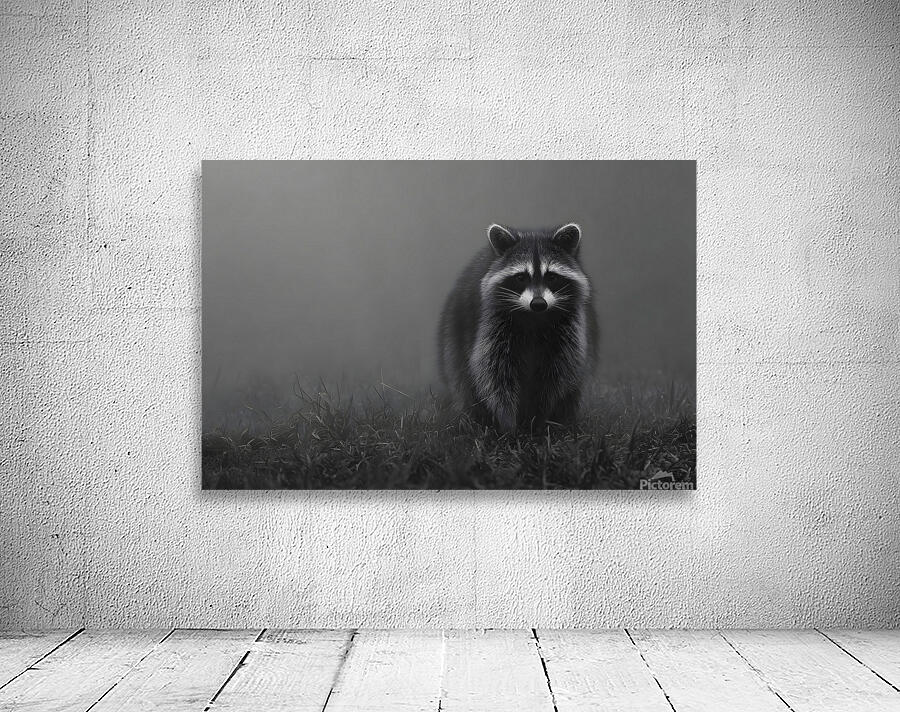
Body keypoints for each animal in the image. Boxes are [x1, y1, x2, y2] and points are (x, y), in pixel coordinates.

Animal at [438, 223, 599, 432]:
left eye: (551, 277)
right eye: (521, 277)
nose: (538, 303)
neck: (534, 317)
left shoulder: (568, 329)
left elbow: (556, 375)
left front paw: (539, 418)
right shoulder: (493, 324)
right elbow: (494, 374)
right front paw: (508, 422)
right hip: (455, 332)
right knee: (462, 379)